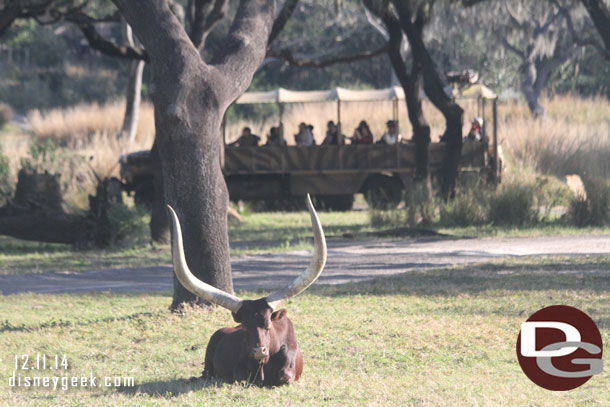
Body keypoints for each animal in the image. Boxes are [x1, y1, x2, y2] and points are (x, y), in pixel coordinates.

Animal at [166, 196, 326, 388]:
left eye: (268, 325)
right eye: (245, 327)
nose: (258, 350)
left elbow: (284, 377)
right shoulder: (238, 373)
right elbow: (240, 378)